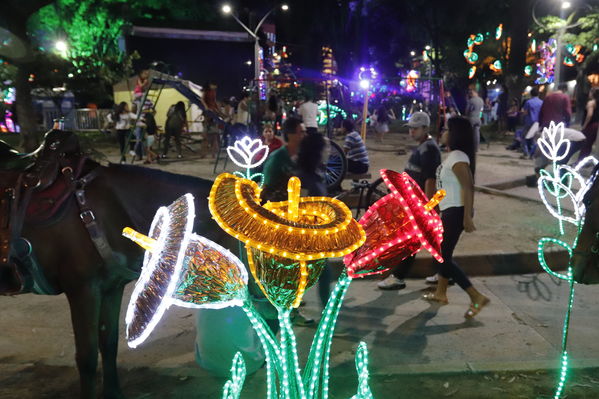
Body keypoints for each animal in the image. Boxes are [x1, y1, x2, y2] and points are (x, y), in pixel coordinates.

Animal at [3, 130, 236, 396]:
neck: (107, 210)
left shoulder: (112, 287)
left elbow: (109, 343)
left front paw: (113, 392)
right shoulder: (83, 290)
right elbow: (87, 357)